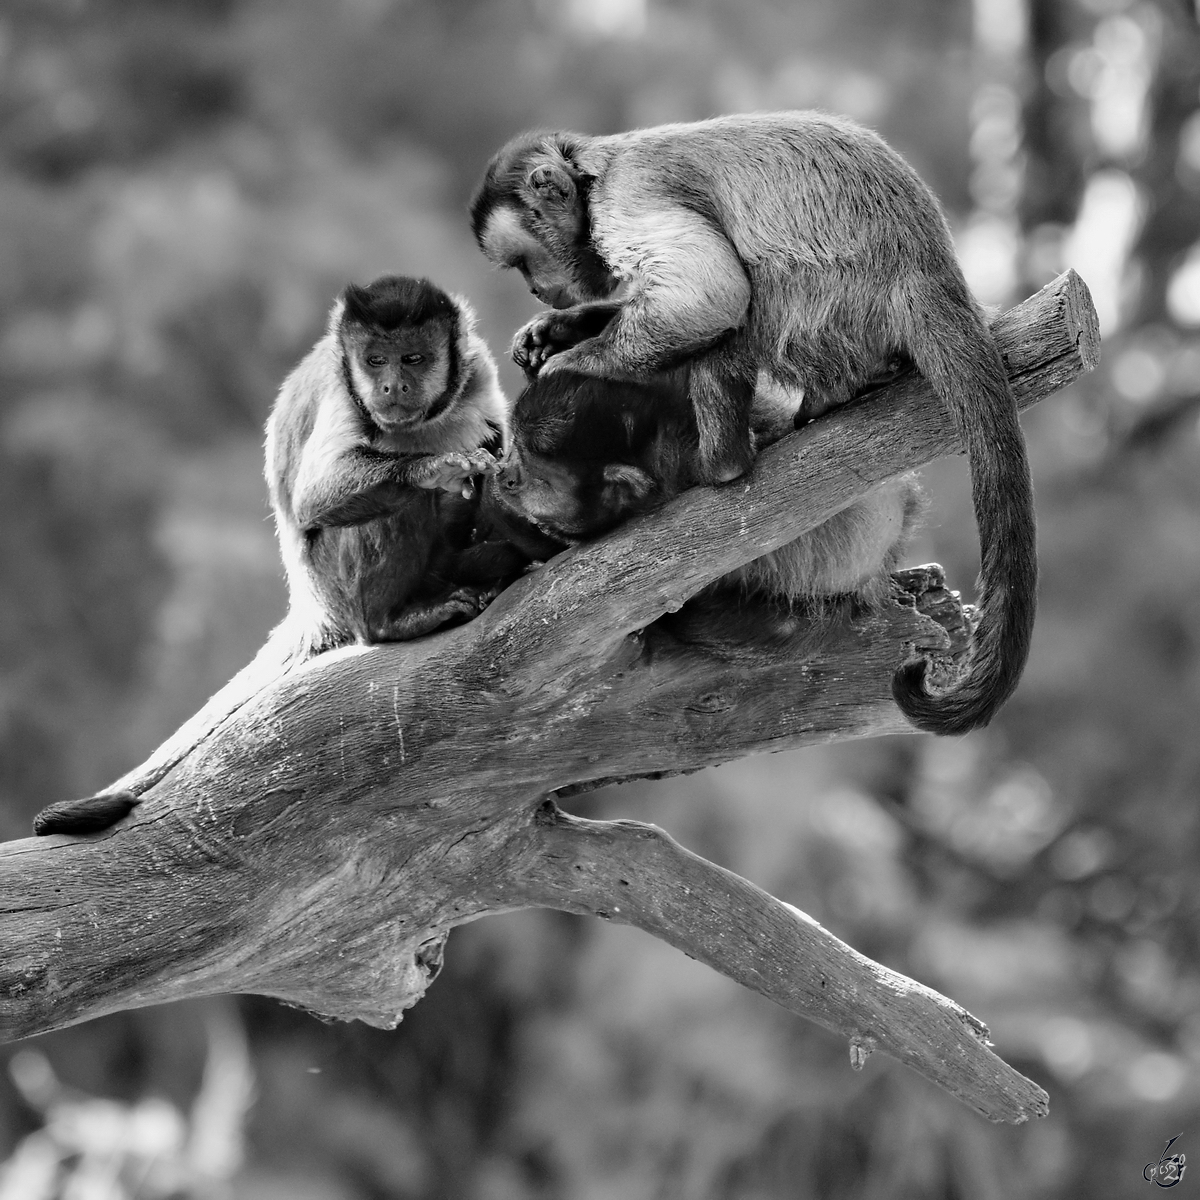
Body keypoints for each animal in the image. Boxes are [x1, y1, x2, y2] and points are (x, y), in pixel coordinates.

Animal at [30, 273, 523, 840]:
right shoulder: (344, 392)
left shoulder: (476, 368)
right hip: (335, 584)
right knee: (387, 510)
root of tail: (311, 602)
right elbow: (317, 497)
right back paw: (390, 621)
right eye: (375, 361)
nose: (391, 386)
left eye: (414, 359)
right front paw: (435, 467)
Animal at [472, 112, 1036, 734]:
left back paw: (729, 458)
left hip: (824, 305)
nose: (534, 287)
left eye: (524, 262)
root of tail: (928, 272)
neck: (593, 169)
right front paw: (560, 329)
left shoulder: (627, 197)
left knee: (741, 306)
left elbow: (711, 294)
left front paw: (574, 360)